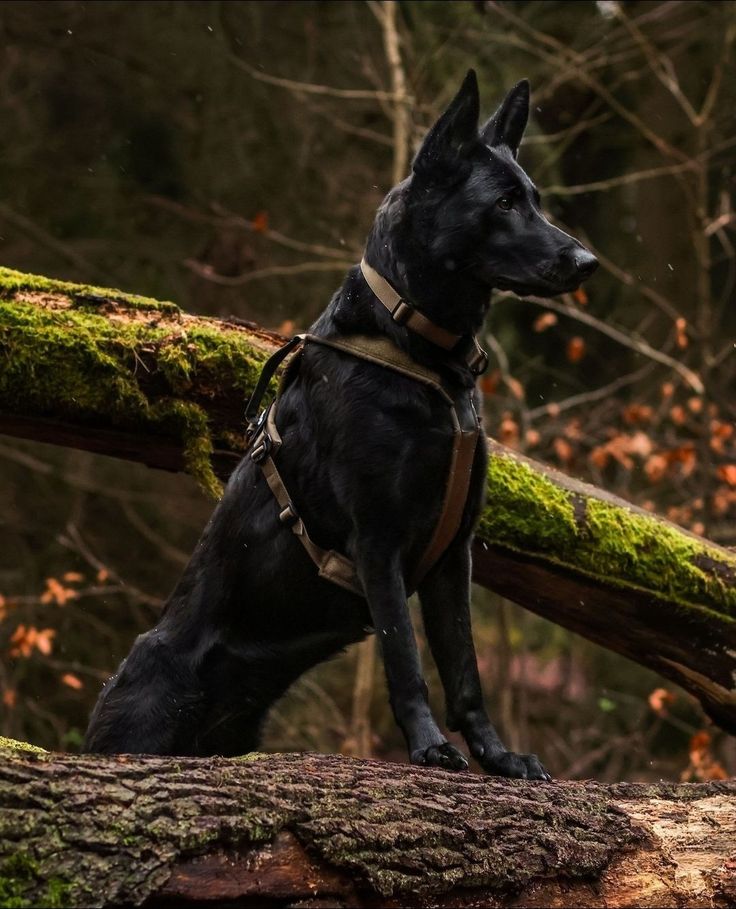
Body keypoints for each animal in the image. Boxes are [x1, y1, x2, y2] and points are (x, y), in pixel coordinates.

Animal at [83, 72, 596, 780]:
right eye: (503, 203)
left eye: (537, 201)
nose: (588, 261)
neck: (420, 352)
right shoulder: (376, 541)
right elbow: (406, 661)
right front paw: (429, 748)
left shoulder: (453, 556)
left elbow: (465, 671)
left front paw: (497, 757)